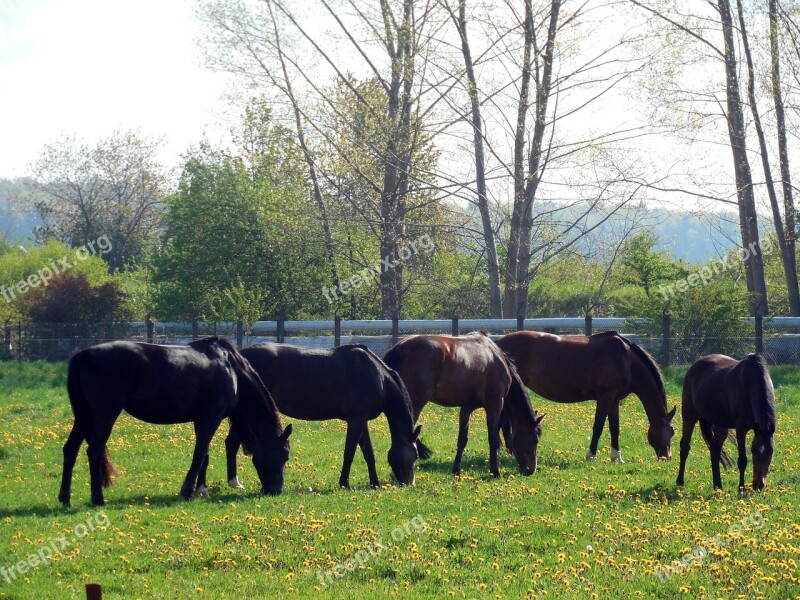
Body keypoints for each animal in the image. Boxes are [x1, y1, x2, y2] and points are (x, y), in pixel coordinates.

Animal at [57, 338, 292, 506]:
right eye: (284, 455)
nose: (275, 491)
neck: (231, 370)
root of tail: (83, 354)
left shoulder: (200, 419)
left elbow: (204, 455)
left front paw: (201, 489)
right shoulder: (211, 417)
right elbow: (200, 454)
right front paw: (187, 491)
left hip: (84, 416)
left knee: (71, 449)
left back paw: (65, 498)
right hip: (104, 415)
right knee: (94, 450)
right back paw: (98, 499)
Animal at [200, 344, 422, 490]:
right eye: (416, 455)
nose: (408, 483)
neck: (377, 376)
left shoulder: (361, 419)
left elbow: (368, 453)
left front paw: (374, 483)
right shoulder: (356, 418)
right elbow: (350, 452)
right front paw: (344, 483)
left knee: (231, 442)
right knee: (231, 443)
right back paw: (233, 482)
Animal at [382, 332, 544, 478]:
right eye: (535, 439)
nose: (531, 470)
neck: (495, 357)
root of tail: (396, 350)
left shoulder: (467, 408)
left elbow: (462, 440)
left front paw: (456, 470)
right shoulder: (495, 404)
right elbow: (493, 438)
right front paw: (495, 471)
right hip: (414, 404)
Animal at [496, 330, 672, 462]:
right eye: (671, 431)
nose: (667, 457)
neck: (626, 360)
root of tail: (498, 344)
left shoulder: (614, 400)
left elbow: (614, 428)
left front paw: (616, 457)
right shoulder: (605, 396)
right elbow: (598, 426)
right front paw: (591, 455)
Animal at [676, 354, 776, 490]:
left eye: (771, 451)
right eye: (754, 450)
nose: (758, 485)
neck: (751, 383)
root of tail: (695, 365)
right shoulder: (741, 428)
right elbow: (742, 460)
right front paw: (741, 489)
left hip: (720, 424)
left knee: (715, 449)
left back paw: (717, 485)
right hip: (689, 415)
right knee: (685, 446)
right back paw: (680, 481)